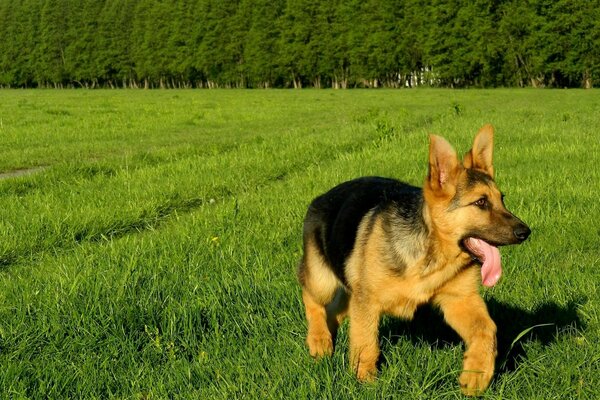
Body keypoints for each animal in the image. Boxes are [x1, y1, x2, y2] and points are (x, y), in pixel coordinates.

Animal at [296, 126, 528, 396]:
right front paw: (365, 383)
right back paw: (319, 340)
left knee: (333, 312)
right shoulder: (366, 303)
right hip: (322, 281)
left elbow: (487, 330)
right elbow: (366, 345)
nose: (526, 232)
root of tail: (321, 197)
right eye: (481, 202)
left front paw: (476, 374)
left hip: (348, 294)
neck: (432, 253)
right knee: (311, 298)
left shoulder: (460, 299)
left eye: (502, 199)